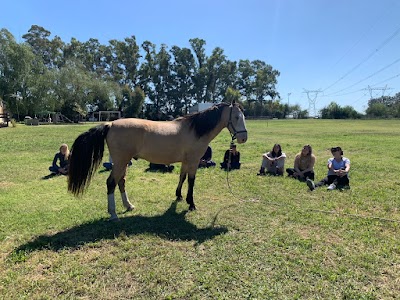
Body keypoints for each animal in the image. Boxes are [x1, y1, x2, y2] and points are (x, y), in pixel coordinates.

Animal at [68, 102, 247, 221]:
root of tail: (110, 124)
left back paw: (128, 206)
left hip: (123, 163)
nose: (243, 138)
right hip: (120, 162)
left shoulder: (185, 161)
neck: (194, 130)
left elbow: (182, 177)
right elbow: (191, 181)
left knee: (121, 182)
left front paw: (179, 196)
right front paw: (191, 203)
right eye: (237, 117)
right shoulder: (194, 161)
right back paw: (113, 214)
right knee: (111, 183)